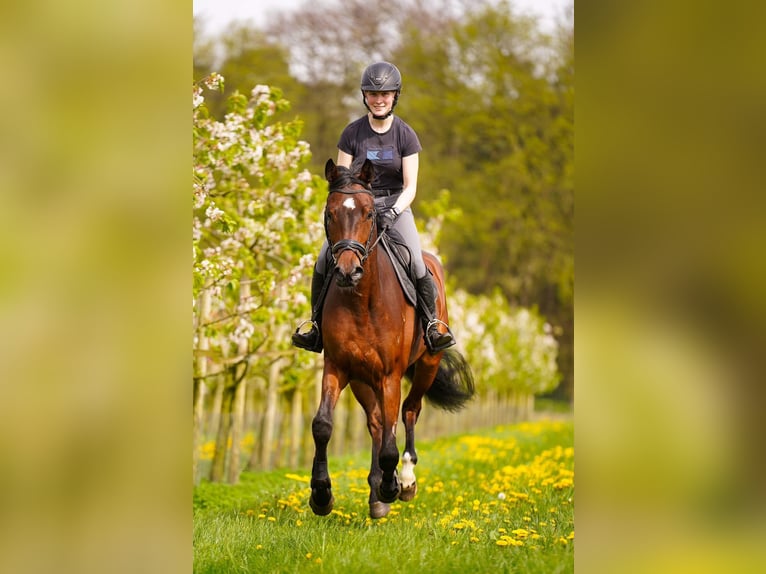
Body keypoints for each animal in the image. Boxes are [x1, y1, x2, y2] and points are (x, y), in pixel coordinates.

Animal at [310, 159, 476, 520]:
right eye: (329, 213)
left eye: (370, 213)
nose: (347, 272)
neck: (362, 301)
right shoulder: (337, 367)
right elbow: (323, 425)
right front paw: (321, 495)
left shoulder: (390, 375)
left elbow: (391, 439)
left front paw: (393, 485)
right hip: (362, 378)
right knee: (376, 423)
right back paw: (376, 495)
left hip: (427, 364)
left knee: (409, 411)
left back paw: (406, 481)